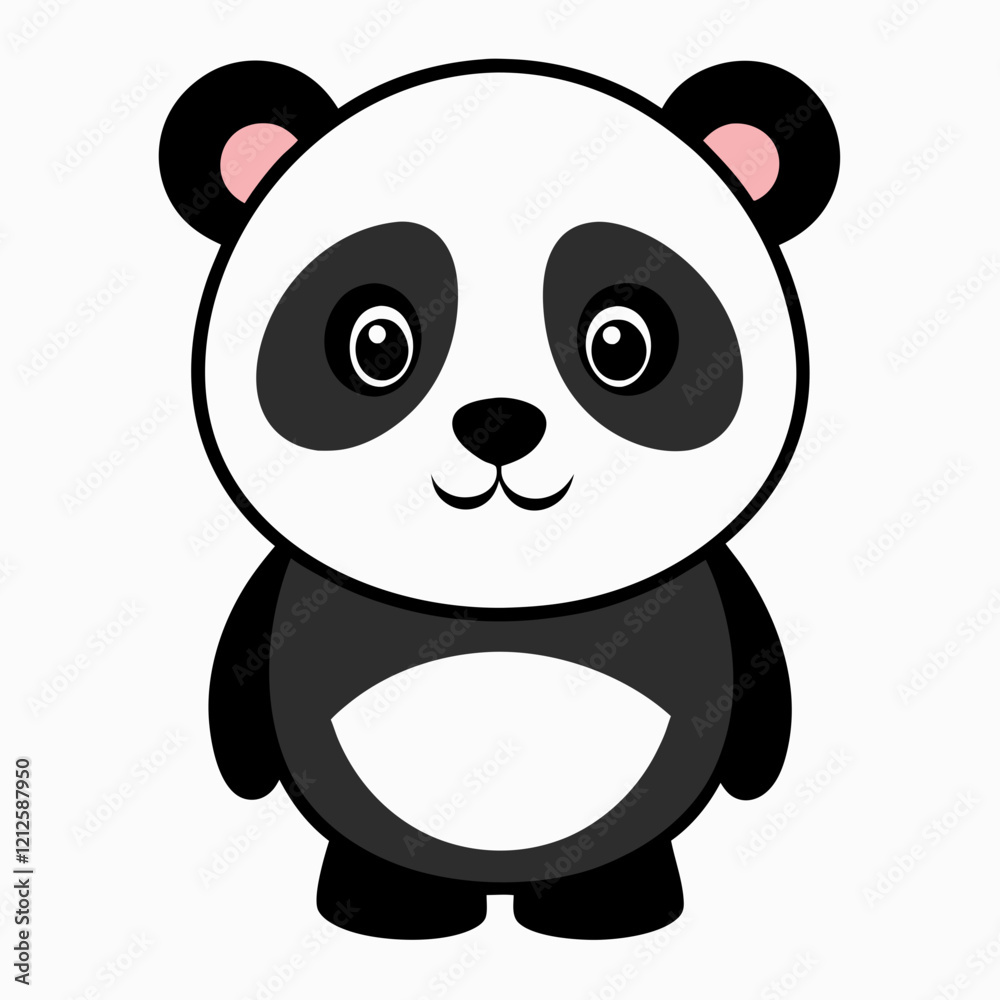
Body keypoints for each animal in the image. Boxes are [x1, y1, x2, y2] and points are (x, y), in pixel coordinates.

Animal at [159, 57, 839, 939]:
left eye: (622, 343)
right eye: (376, 341)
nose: (499, 422)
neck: (503, 598)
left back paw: (610, 907)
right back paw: (393, 907)